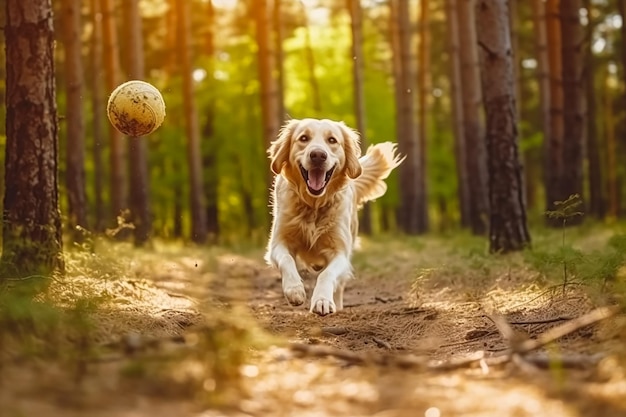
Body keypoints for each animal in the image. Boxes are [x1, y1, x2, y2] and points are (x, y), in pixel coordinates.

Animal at [264, 118, 404, 314]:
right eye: (303, 138)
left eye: (332, 140)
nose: (317, 155)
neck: (314, 205)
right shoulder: (278, 242)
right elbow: (286, 259)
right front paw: (294, 290)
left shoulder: (340, 253)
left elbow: (327, 274)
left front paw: (322, 300)